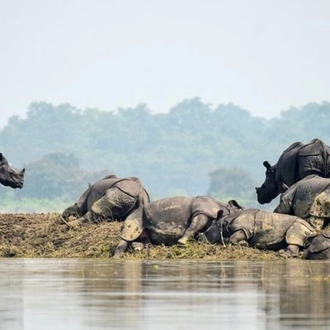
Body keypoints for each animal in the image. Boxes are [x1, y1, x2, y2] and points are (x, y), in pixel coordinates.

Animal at [113, 196, 242, 258]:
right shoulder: (202, 211)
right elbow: (194, 225)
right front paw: (182, 242)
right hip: (136, 214)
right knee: (128, 235)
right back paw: (117, 257)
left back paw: (137, 247)